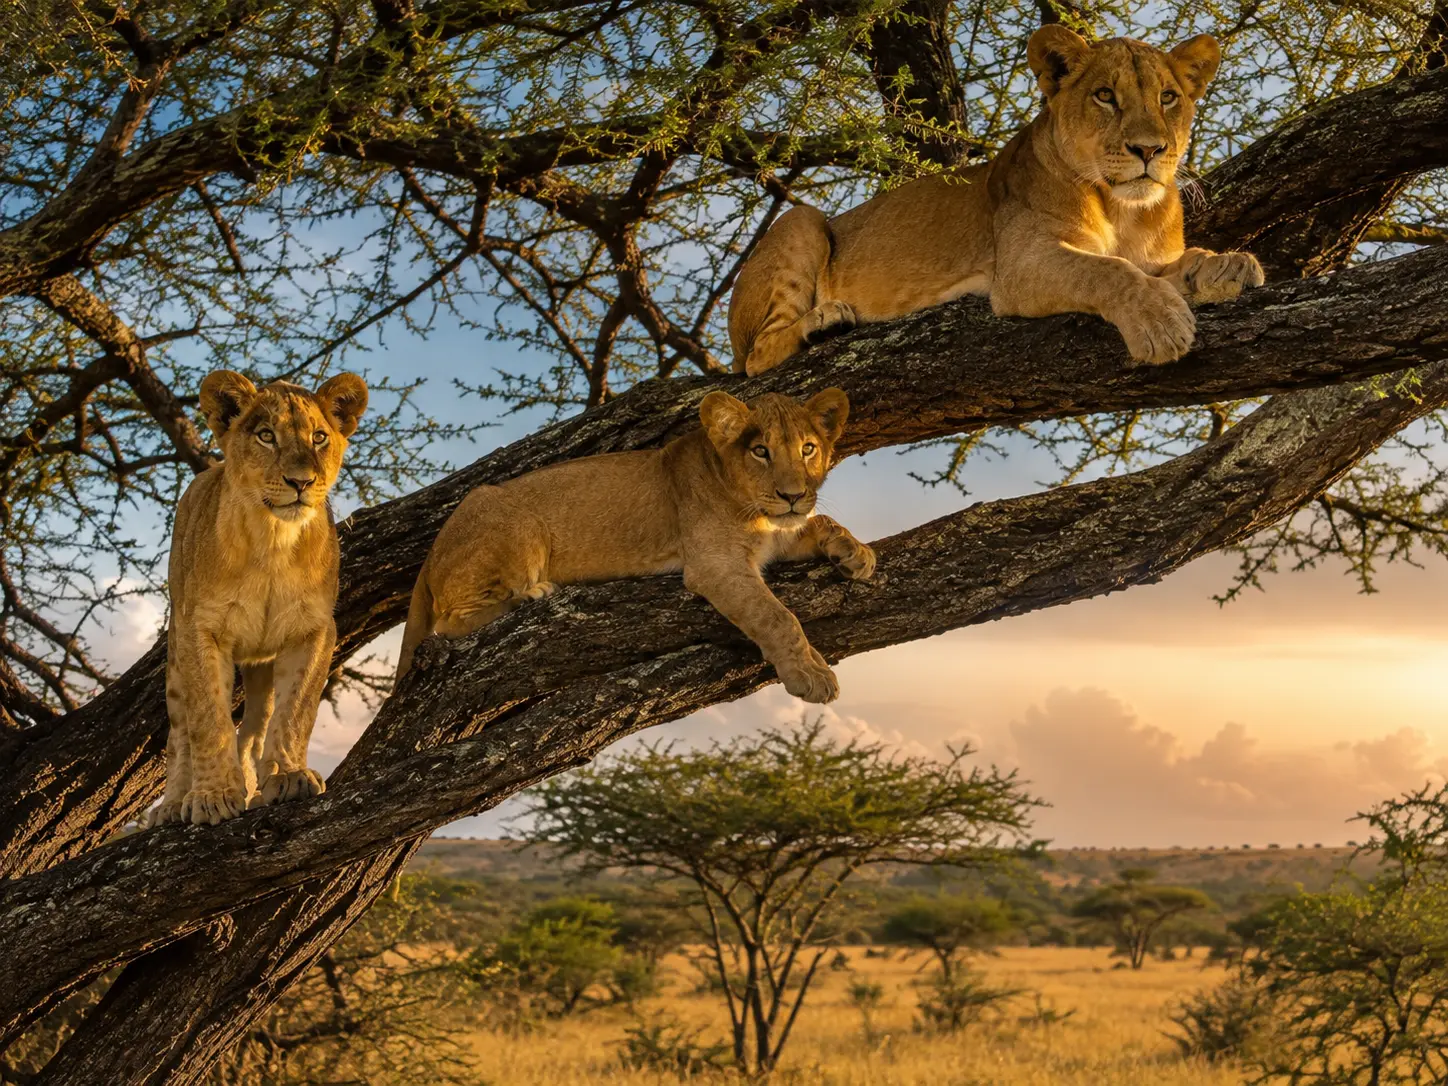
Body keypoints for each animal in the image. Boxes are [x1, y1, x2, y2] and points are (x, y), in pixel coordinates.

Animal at [150, 370, 369, 827]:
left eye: (319, 437)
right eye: (267, 436)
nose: (301, 482)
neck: (273, 541)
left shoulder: (312, 630)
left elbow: (296, 709)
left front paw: (288, 775)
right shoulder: (201, 630)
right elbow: (208, 719)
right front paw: (212, 795)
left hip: (261, 663)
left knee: (256, 723)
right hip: (176, 646)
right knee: (179, 732)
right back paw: (174, 802)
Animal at [396, 389, 874, 703]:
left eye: (808, 449)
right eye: (760, 451)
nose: (793, 495)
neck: (756, 509)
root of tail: (429, 557)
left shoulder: (778, 534)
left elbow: (819, 522)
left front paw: (855, 552)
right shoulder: (714, 563)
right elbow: (777, 617)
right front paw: (811, 675)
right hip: (515, 520)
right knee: (449, 623)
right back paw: (529, 596)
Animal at [728, 27, 1264, 373]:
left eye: (1168, 98)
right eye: (1105, 96)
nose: (1149, 150)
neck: (1124, 208)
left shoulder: (1152, 256)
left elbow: (1171, 263)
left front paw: (1225, 264)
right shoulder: (1021, 263)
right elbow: (1108, 270)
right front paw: (1159, 322)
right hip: (800, 221)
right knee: (756, 360)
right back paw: (824, 322)